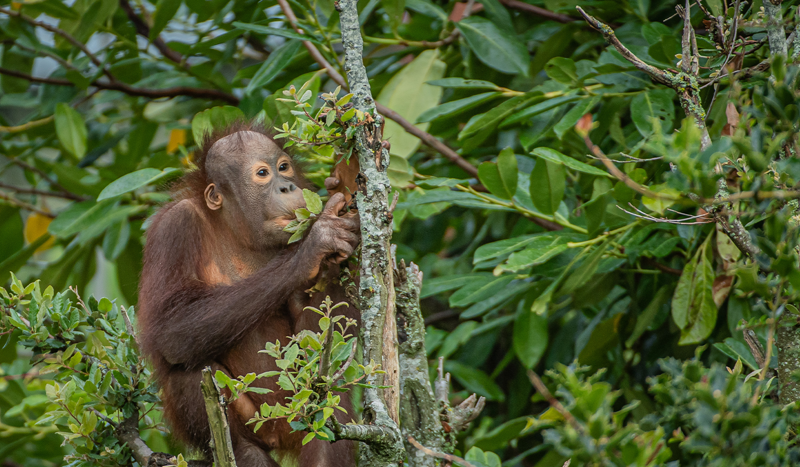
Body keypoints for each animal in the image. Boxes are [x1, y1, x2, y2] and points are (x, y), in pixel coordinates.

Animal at [137, 121, 360, 467]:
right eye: (263, 174)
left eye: (284, 167)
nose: (287, 187)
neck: (239, 233)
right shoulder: (174, 227)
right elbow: (170, 326)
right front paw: (316, 244)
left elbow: (329, 340)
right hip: (261, 421)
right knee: (187, 369)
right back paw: (245, 452)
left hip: (297, 416)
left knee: (327, 398)